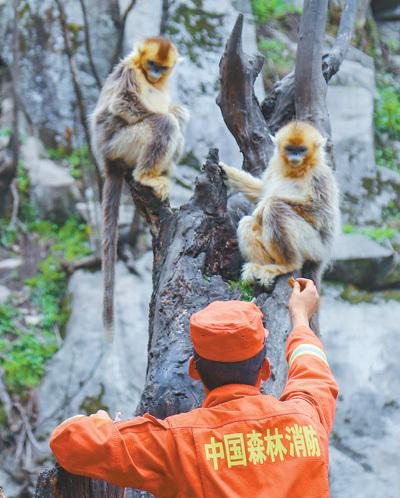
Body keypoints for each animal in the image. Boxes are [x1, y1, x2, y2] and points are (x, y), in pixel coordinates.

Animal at [220, 121, 340, 290]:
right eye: (290, 149)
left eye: (301, 150)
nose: (295, 156)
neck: (297, 171)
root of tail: (323, 256)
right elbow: (261, 191)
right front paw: (226, 171)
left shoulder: (319, 175)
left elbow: (322, 212)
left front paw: (265, 204)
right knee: (247, 223)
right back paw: (259, 266)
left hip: (314, 247)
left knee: (275, 210)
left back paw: (287, 265)